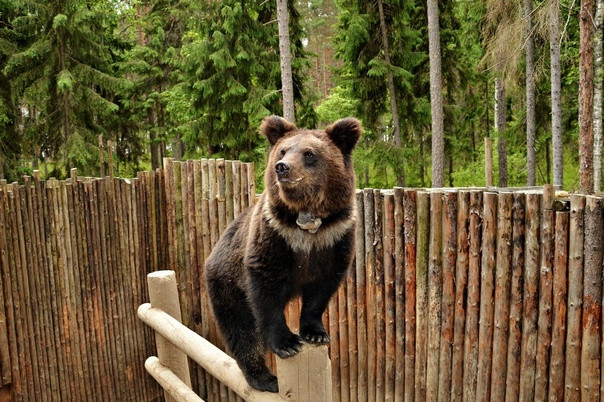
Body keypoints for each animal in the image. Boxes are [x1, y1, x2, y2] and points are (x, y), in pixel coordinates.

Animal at [205, 114, 360, 392]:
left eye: (309, 153)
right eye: (283, 150)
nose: (282, 167)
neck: (308, 224)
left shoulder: (336, 237)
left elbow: (322, 289)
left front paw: (315, 333)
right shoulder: (275, 235)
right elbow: (266, 292)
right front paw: (287, 343)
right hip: (227, 285)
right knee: (240, 331)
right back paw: (264, 377)